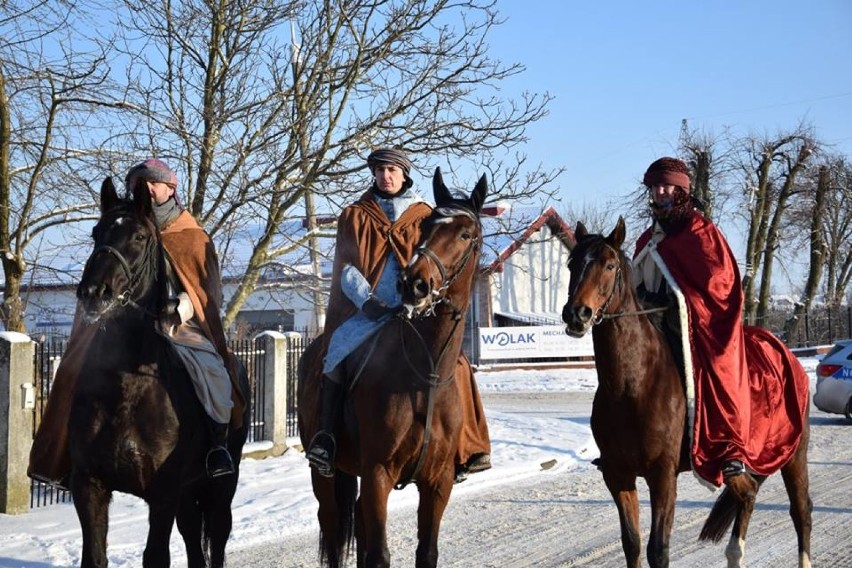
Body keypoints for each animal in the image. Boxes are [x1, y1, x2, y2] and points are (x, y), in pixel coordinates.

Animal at [68, 179, 248, 568]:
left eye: (138, 236)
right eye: (96, 232)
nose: (93, 292)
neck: (126, 389)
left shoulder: (163, 492)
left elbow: (156, 556)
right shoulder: (89, 486)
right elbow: (94, 556)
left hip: (221, 484)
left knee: (218, 534)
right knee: (194, 538)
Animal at [298, 169, 486, 568]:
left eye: (465, 234)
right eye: (427, 226)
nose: (414, 283)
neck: (423, 373)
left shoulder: (438, 482)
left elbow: (425, 552)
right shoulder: (377, 474)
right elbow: (378, 555)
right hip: (326, 477)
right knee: (334, 528)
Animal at [560, 219, 812, 568]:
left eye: (609, 265)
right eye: (572, 264)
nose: (576, 314)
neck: (630, 387)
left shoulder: (663, 476)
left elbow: (658, 550)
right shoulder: (618, 475)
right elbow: (632, 544)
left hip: (794, 452)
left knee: (801, 512)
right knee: (747, 494)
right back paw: (734, 555)